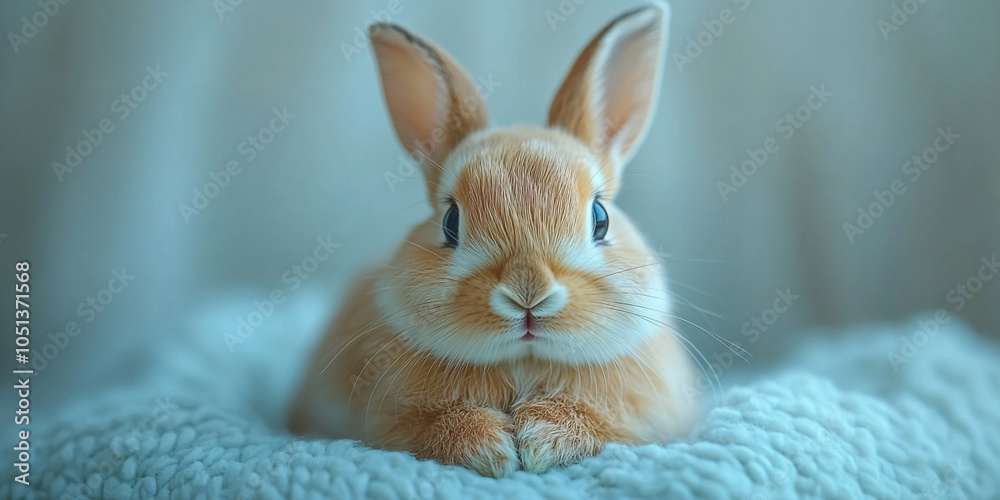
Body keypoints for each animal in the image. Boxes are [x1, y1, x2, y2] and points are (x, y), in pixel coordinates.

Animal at [287, 1, 699, 478]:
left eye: (601, 219)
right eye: (450, 222)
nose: (528, 293)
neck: (522, 362)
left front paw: (541, 436)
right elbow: (422, 428)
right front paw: (490, 446)